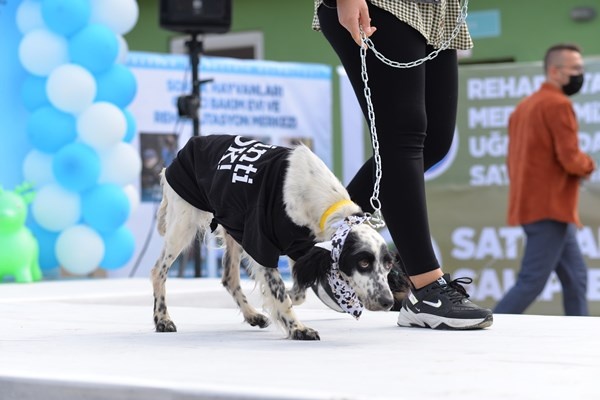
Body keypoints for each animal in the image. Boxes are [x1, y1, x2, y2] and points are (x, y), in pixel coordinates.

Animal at [151, 135, 404, 340]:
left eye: (388, 265)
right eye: (363, 262)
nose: (388, 301)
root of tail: (189, 145)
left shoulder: (299, 246)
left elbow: (297, 293)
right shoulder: (261, 244)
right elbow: (280, 293)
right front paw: (298, 328)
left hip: (233, 226)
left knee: (229, 278)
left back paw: (252, 315)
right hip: (183, 226)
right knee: (158, 271)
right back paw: (162, 319)